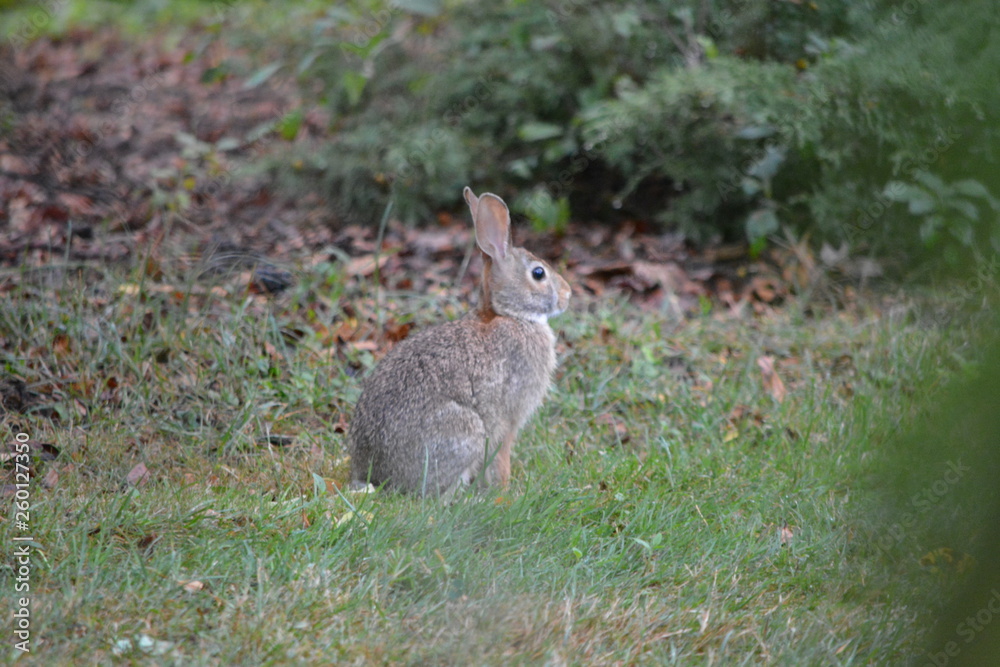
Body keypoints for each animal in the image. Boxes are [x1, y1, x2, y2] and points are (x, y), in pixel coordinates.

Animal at [348, 186, 571, 496]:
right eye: (539, 273)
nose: (568, 294)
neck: (509, 315)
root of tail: (376, 475)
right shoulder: (507, 419)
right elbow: (501, 458)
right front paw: (504, 493)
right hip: (465, 432)